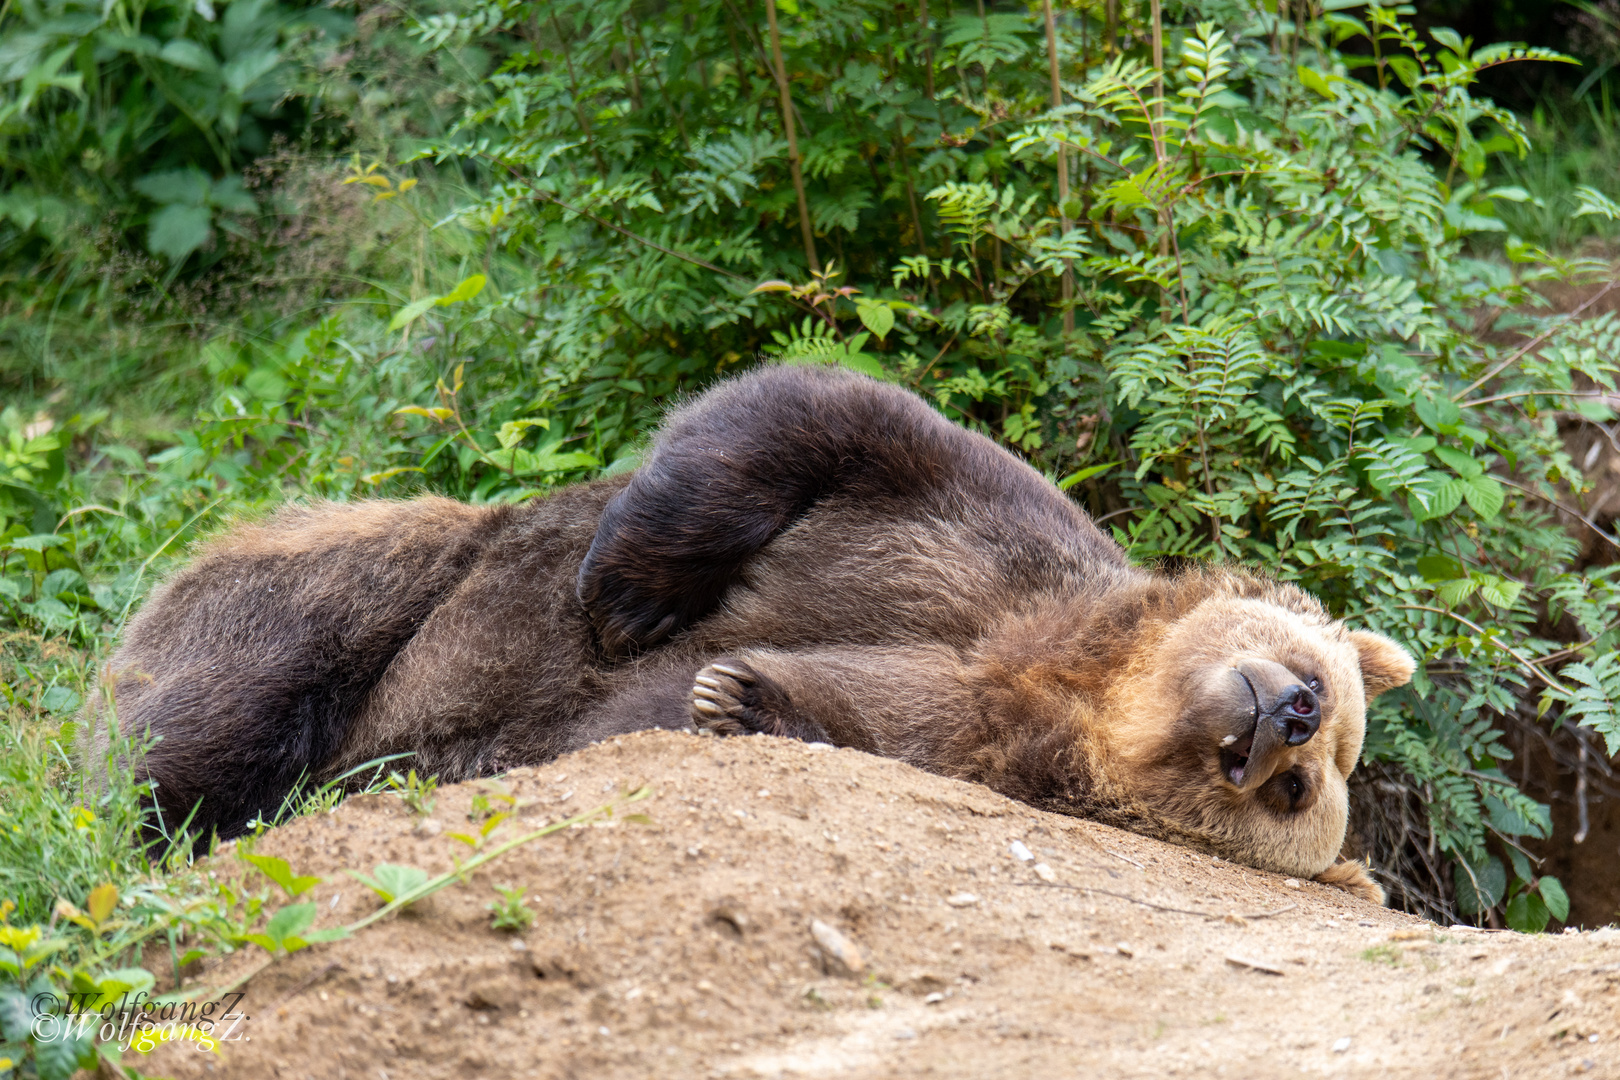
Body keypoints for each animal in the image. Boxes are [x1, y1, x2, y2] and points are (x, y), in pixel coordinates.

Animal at [98, 367, 1406, 900]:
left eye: (1295, 797)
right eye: (1322, 687)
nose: (1289, 717)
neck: (1080, 678)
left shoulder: (960, 731)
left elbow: (809, 707)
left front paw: (733, 695)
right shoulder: (979, 540)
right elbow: (813, 418)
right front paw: (627, 596)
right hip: (382, 568)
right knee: (247, 679)